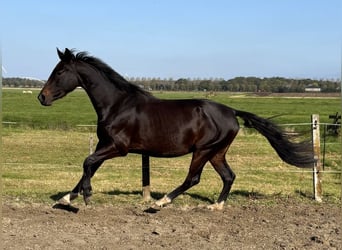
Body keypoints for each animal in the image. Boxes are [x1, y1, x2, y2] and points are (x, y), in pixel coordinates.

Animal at [38, 47, 314, 210]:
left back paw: (161, 201)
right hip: (217, 152)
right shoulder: (103, 145)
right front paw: (67, 197)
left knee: (193, 178)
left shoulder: (118, 147)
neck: (117, 104)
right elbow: (90, 167)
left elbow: (87, 163)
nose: (42, 97)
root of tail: (232, 112)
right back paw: (216, 206)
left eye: (60, 71)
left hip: (203, 150)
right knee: (228, 176)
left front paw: (86, 196)